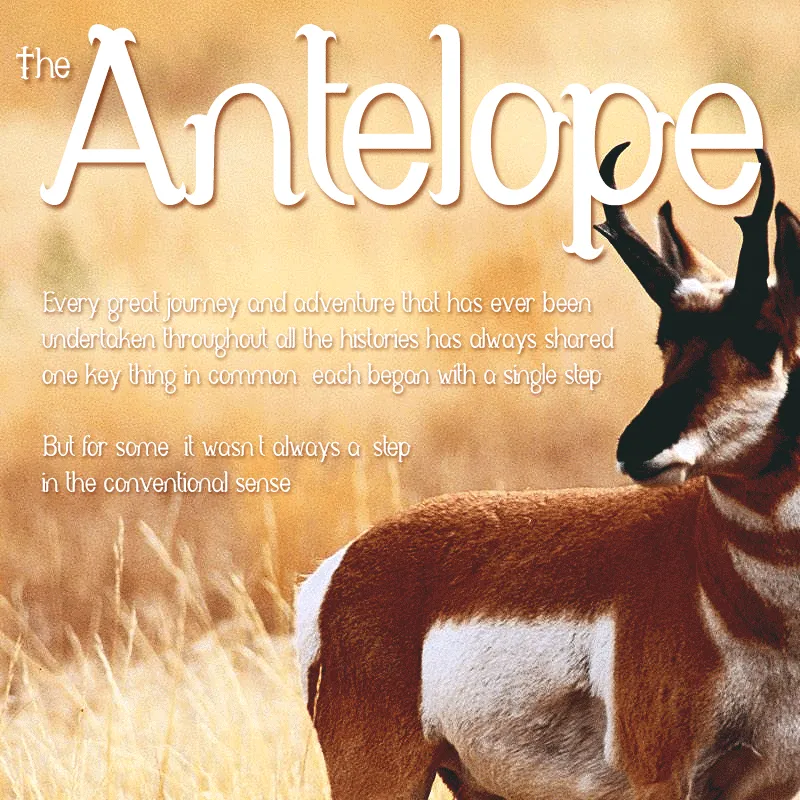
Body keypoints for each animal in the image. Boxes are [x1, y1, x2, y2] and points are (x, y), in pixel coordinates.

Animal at [295, 142, 800, 800]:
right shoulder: (662, 776)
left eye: (765, 341)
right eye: (666, 342)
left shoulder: (771, 782)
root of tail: (339, 567)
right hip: (382, 773)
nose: (636, 447)